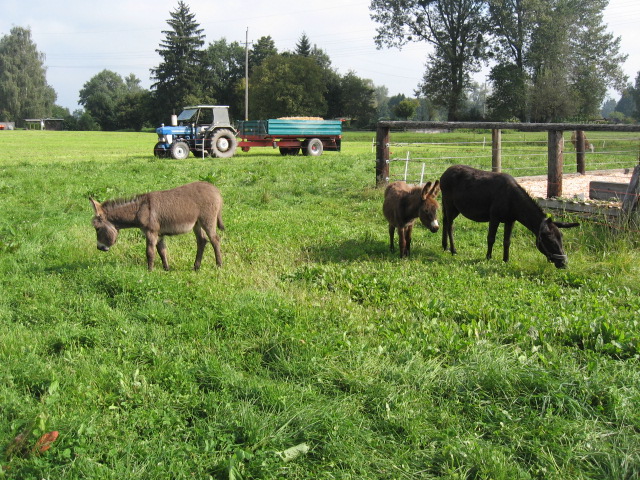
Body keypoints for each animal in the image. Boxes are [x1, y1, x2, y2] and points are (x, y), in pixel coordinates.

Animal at [89, 181, 224, 271]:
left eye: (97, 229)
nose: (99, 248)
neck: (139, 210)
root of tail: (215, 189)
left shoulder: (151, 232)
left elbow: (150, 252)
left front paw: (149, 271)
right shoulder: (159, 234)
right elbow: (162, 251)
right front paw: (166, 269)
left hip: (207, 220)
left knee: (215, 240)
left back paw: (219, 265)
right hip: (197, 224)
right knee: (202, 241)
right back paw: (196, 267)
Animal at [440, 165, 579, 268]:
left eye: (561, 237)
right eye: (549, 240)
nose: (563, 263)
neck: (515, 206)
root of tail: (442, 175)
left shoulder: (510, 220)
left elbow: (507, 241)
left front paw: (506, 259)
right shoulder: (494, 216)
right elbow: (491, 238)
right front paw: (488, 257)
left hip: (453, 207)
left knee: (445, 221)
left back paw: (444, 246)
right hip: (449, 203)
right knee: (450, 225)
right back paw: (453, 250)